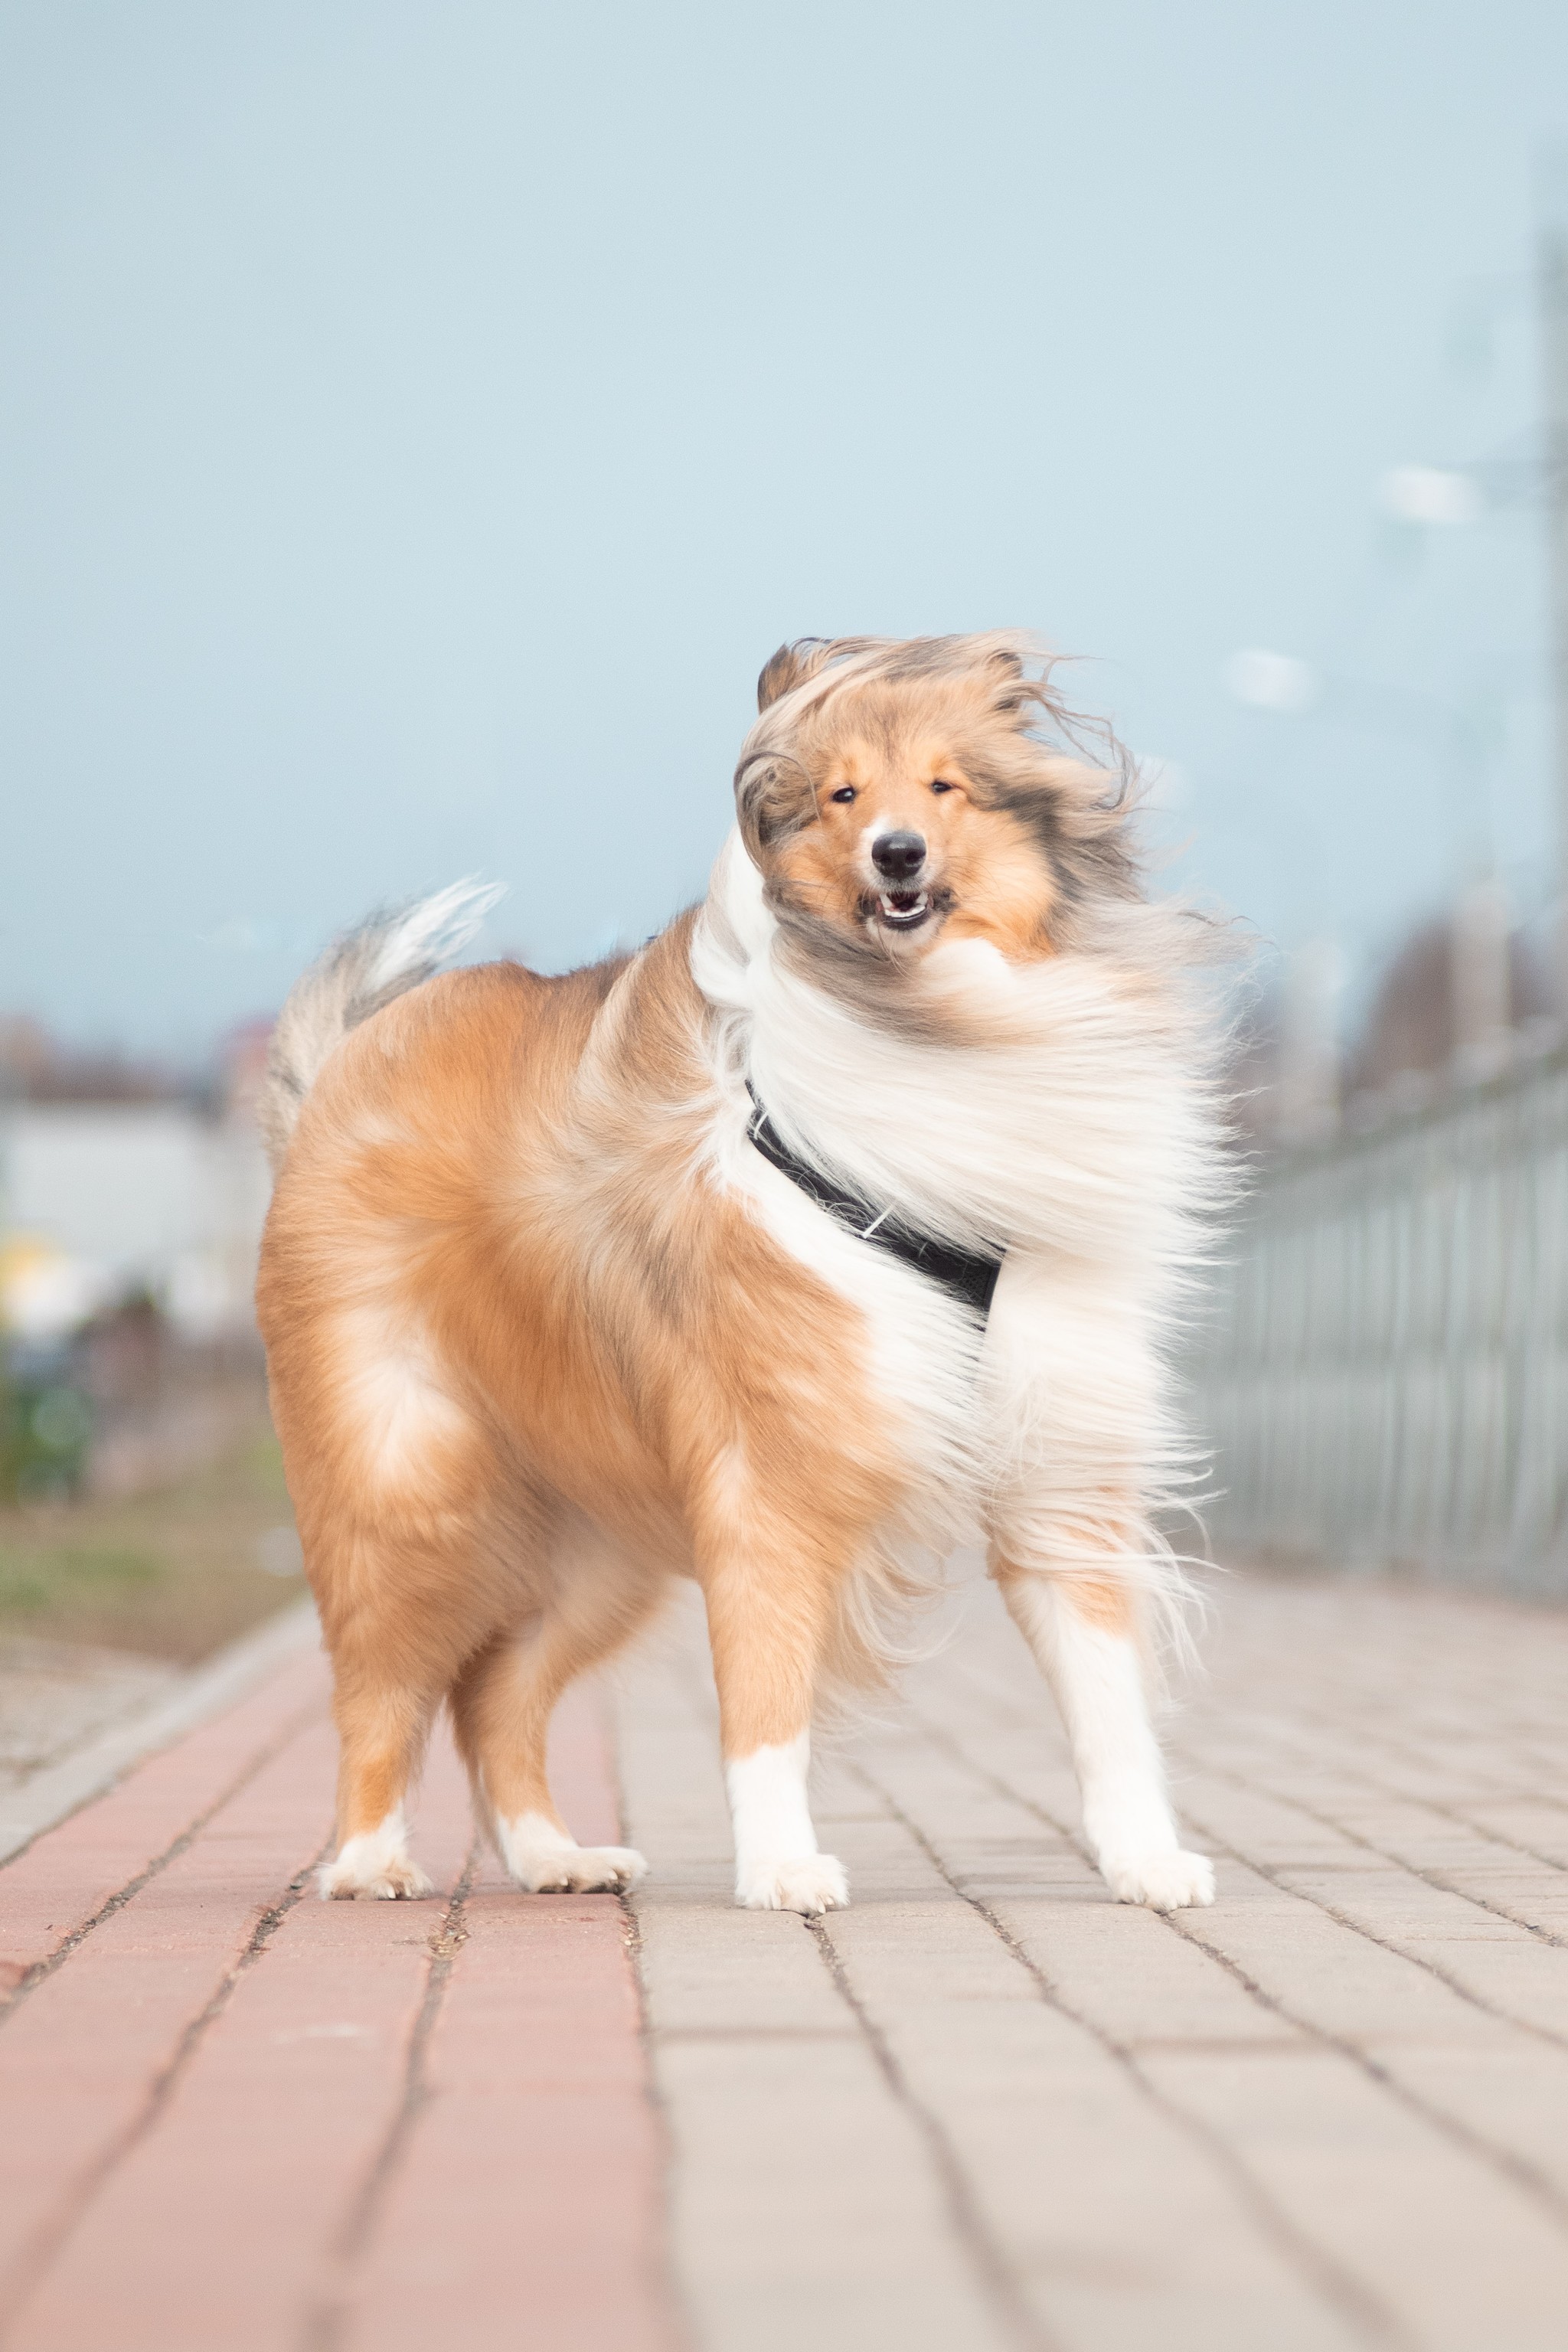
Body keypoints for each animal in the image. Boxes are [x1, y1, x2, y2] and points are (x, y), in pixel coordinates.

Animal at [255, 626, 1222, 1909]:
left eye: (945, 787)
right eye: (842, 796)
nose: (898, 853)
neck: (930, 1016)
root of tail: (340, 1072)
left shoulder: (1060, 1462)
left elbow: (1110, 1705)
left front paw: (1147, 1862)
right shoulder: (769, 1479)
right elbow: (763, 1705)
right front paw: (780, 1870)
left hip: (596, 1544)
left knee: (497, 1690)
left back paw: (555, 1855)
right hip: (411, 1491)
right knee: (382, 1685)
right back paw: (368, 1864)